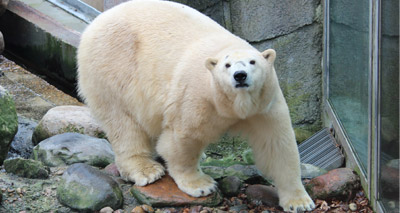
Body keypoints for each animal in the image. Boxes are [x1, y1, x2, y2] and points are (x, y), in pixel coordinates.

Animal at [77, 0, 316, 211]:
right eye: (227, 65)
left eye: (253, 62)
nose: (240, 75)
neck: (235, 103)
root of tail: (95, 23)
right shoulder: (197, 96)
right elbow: (182, 138)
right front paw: (201, 185)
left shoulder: (264, 105)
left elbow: (277, 146)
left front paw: (300, 202)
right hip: (114, 68)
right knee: (123, 123)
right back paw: (147, 170)